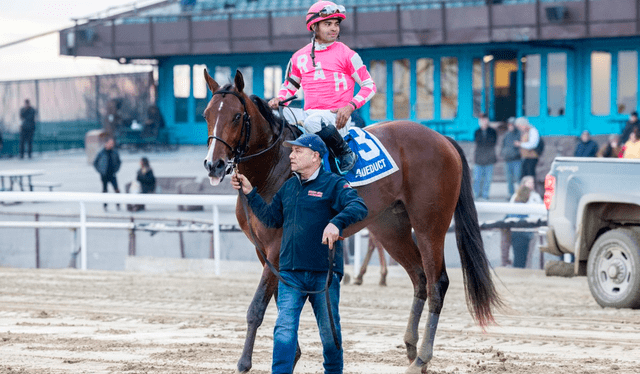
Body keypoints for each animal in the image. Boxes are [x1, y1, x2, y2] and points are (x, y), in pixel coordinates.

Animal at [200, 68, 500, 372]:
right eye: (206, 114)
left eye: (237, 116)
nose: (214, 165)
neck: (275, 166)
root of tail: (443, 139)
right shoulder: (264, 251)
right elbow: (281, 298)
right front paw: (291, 354)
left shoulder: (275, 248)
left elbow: (258, 306)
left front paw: (244, 362)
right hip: (391, 228)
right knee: (419, 277)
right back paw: (411, 346)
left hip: (430, 225)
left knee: (437, 282)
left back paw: (421, 358)